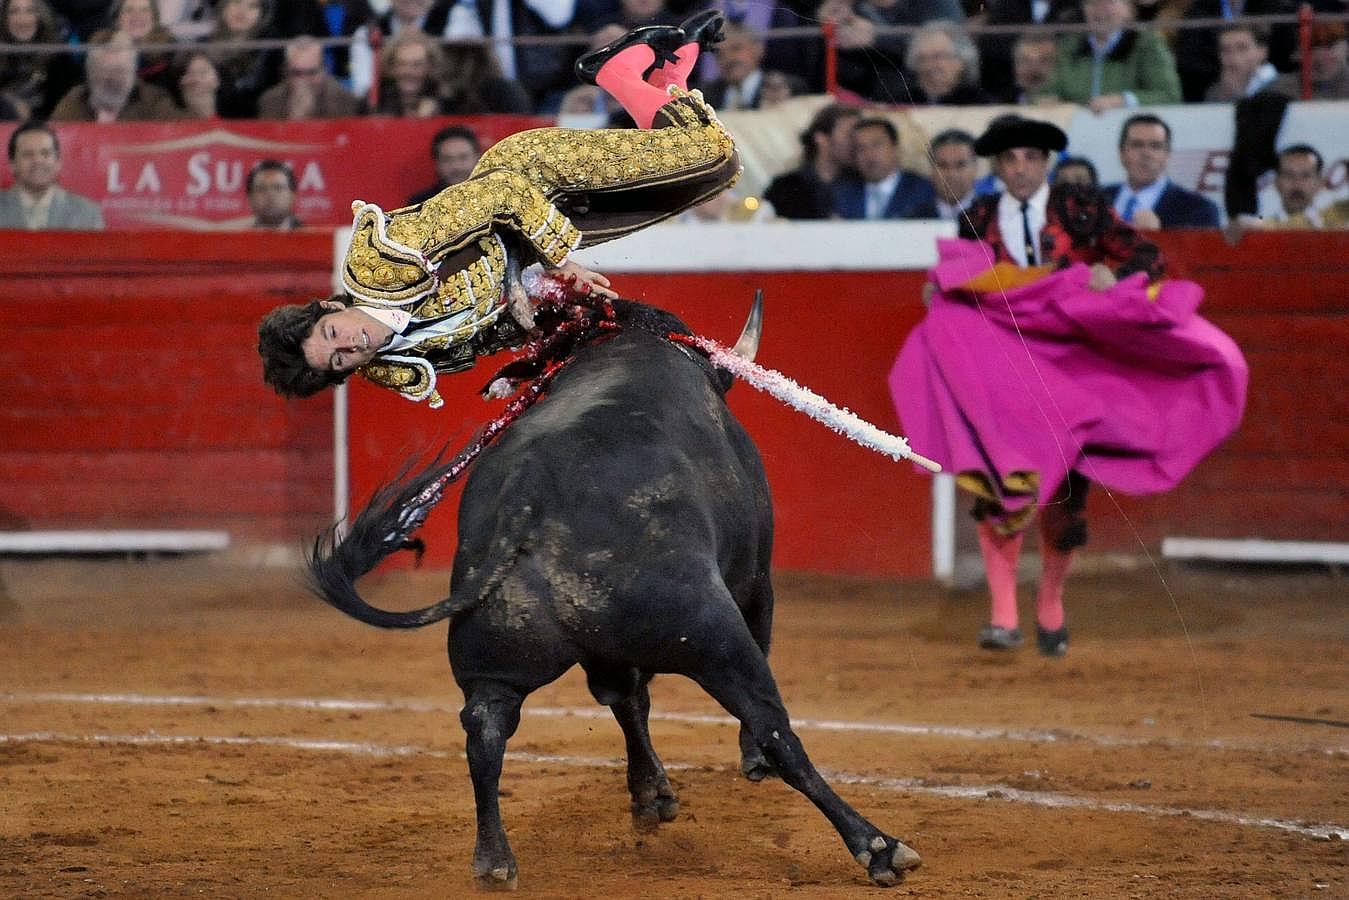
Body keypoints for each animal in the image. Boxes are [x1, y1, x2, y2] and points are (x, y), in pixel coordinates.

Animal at [308, 300, 917, 885]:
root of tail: (527, 498)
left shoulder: (605, 653)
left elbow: (626, 701)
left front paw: (650, 793)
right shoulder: (754, 579)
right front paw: (728, 768)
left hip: (494, 661)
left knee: (487, 728)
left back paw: (494, 858)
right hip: (712, 635)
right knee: (772, 725)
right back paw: (877, 846)